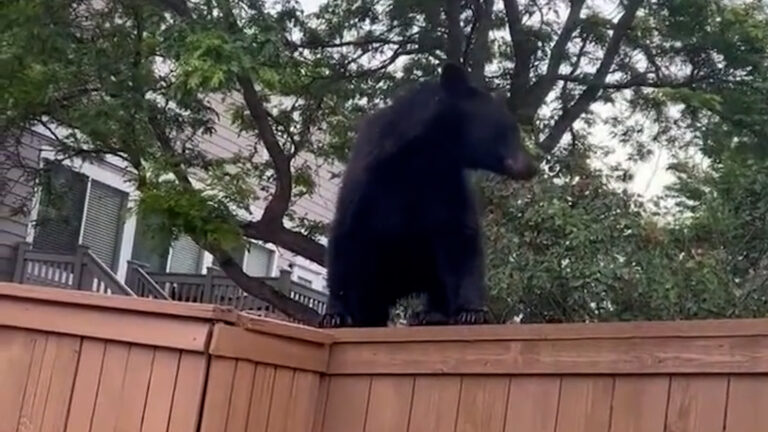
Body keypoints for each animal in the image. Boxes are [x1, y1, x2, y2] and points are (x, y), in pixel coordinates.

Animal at [318, 62, 538, 328]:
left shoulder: (446, 186)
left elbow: (462, 240)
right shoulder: (367, 181)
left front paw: (472, 310)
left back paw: (431, 314)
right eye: (509, 130)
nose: (533, 166)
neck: (423, 157)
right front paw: (335, 314)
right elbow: (345, 240)